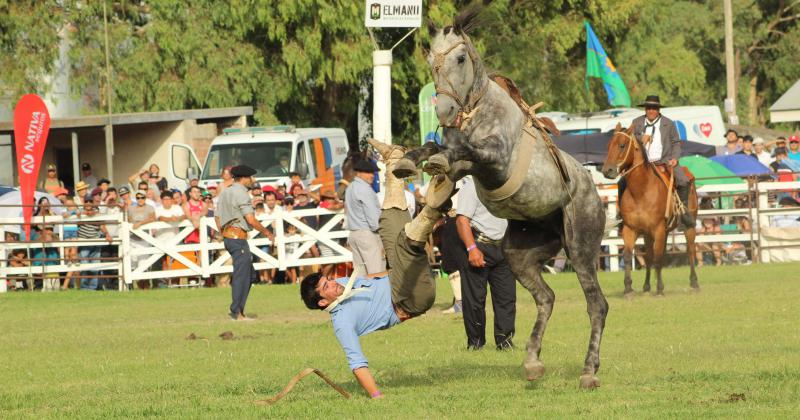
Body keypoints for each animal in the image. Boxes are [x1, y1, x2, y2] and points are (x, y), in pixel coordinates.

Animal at [596, 124, 696, 296]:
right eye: (608, 146)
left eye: (622, 145)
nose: (607, 170)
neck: (641, 191)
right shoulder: (630, 229)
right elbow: (629, 256)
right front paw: (628, 288)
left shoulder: (658, 228)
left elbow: (658, 258)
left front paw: (660, 289)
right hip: (652, 234)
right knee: (650, 256)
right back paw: (647, 286)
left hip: (688, 226)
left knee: (690, 250)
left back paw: (694, 282)